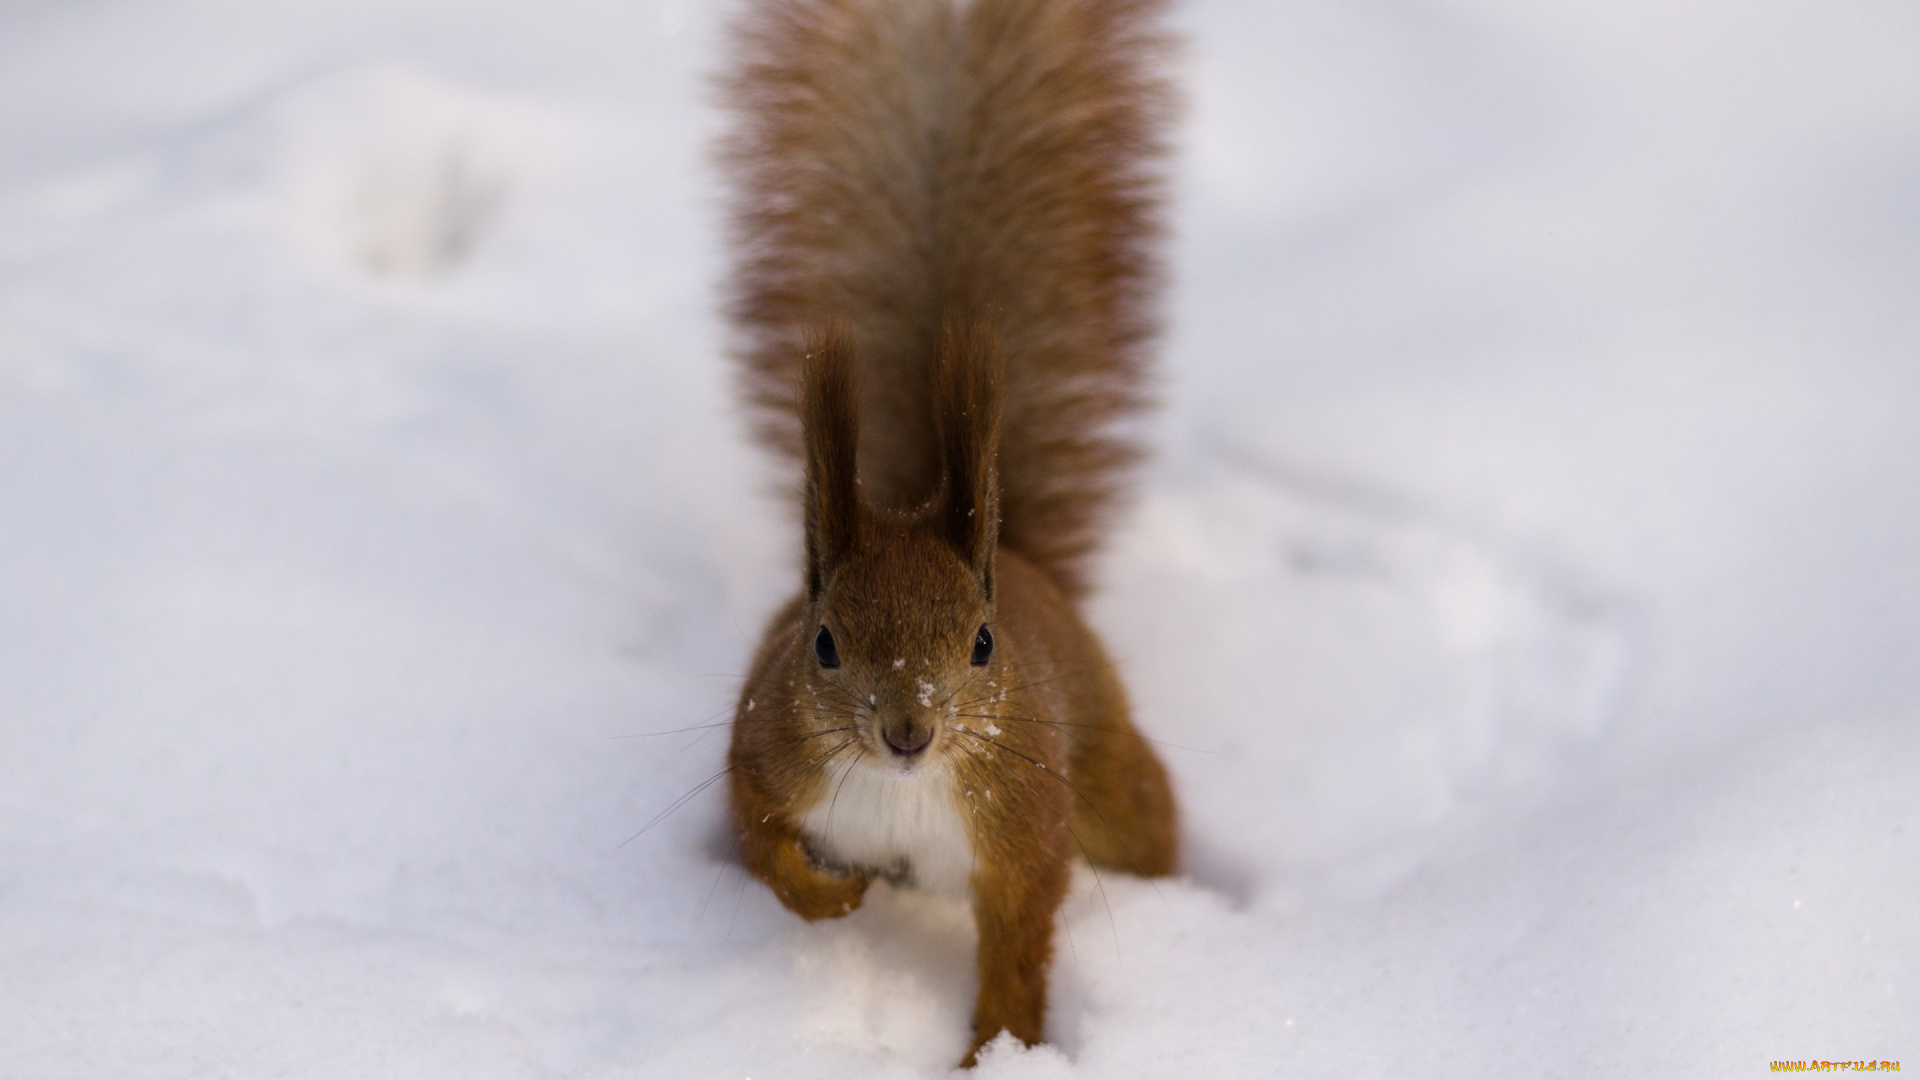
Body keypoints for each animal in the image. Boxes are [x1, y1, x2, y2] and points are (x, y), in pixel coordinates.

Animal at [718, 0, 1175, 1060]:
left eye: (982, 643)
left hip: (1109, 776)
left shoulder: (1023, 822)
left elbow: (1019, 938)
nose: (908, 732)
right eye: (823, 644)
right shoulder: (764, 750)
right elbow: (760, 842)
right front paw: (831, 900)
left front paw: (995, 1051)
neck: (898, 792)